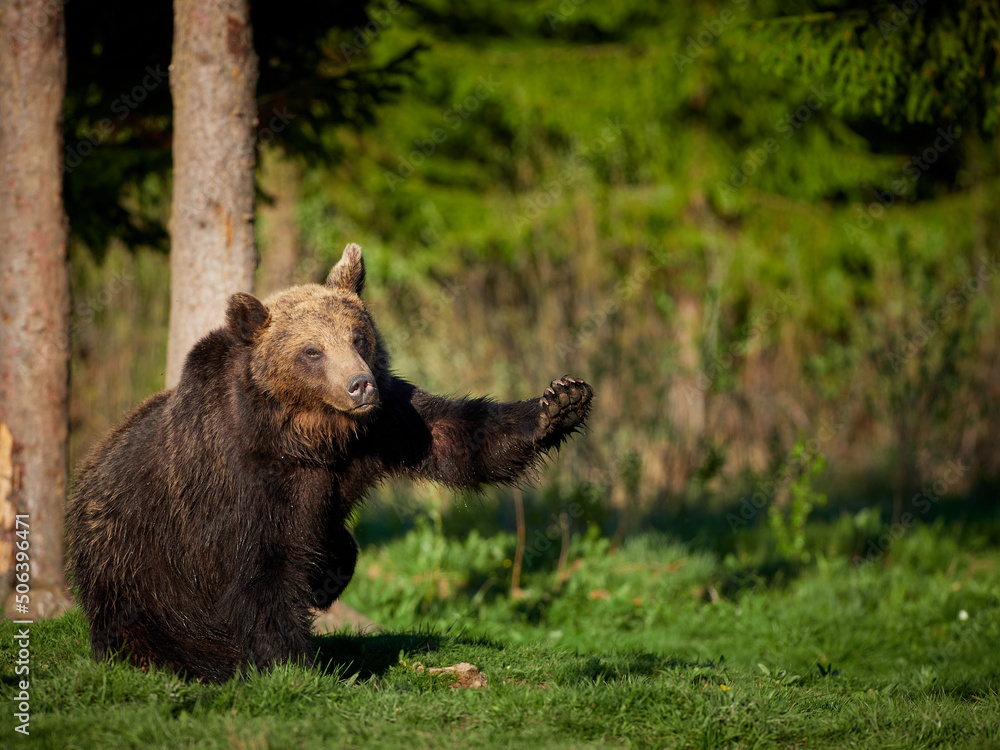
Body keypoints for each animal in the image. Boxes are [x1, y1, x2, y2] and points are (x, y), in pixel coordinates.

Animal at [67, 243, 593, 683]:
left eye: (358, 336)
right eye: (312, 350)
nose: (359, 385)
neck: (307, 435)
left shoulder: (386, 424)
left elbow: (455, 435)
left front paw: (560, 402)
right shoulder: (238, 480)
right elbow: (258, 575)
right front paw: (293, 663)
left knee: (342, 546)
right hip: (136, 571)